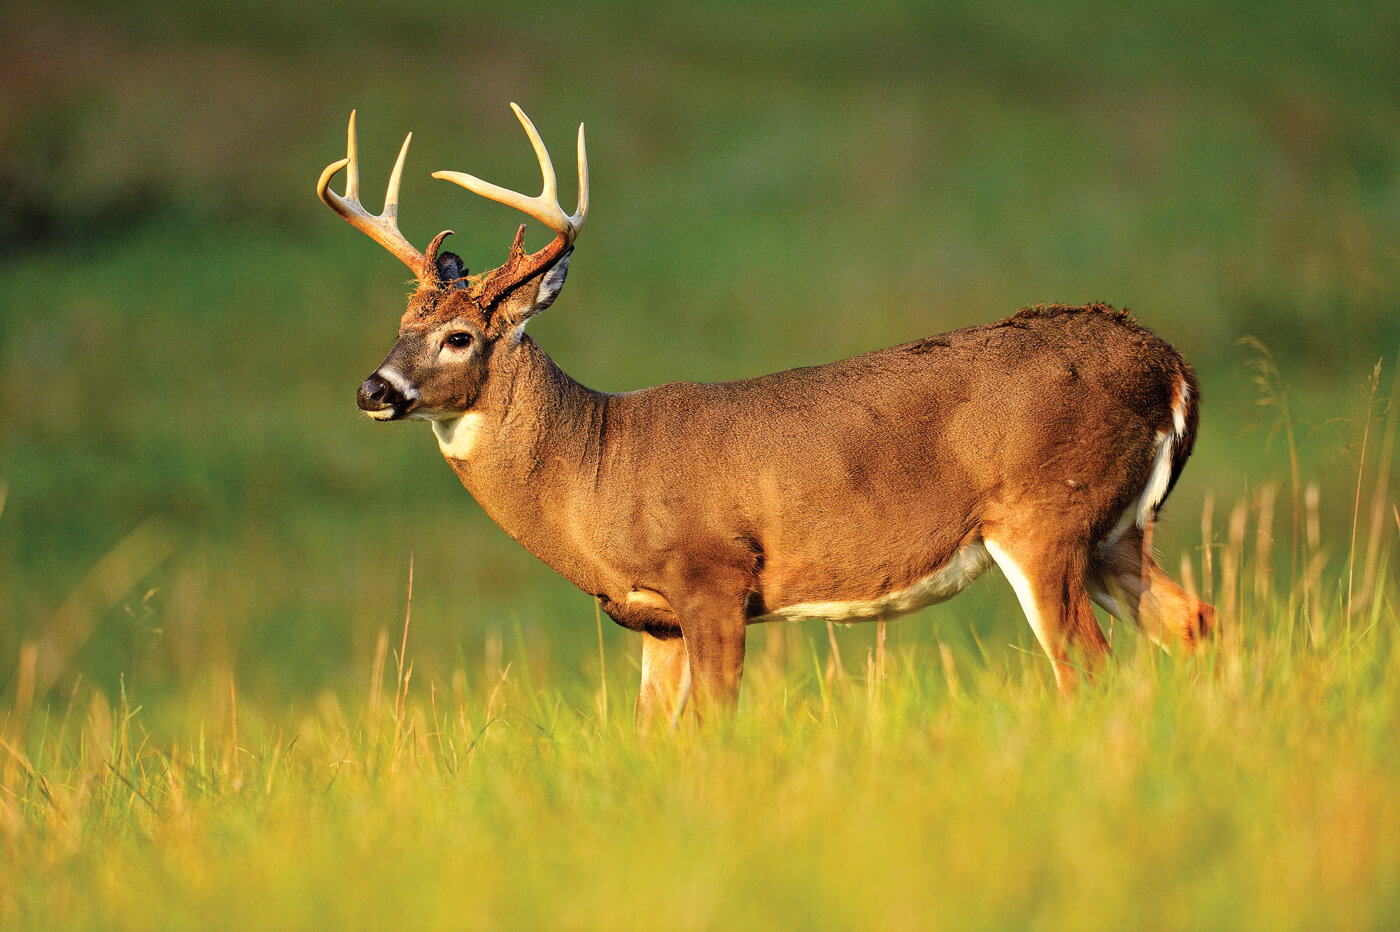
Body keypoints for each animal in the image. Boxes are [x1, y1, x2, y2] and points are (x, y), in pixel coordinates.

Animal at [320, 103, 1215, 727]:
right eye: (400, 324)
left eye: (460, 337)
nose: (373, 390)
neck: (593, 470)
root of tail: (1172, 366)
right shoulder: (654, 623)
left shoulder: (712, 575)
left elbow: (716, 724)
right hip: (1114, 530)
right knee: (1194, 622)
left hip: (1045, 516)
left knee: (1086, 665)